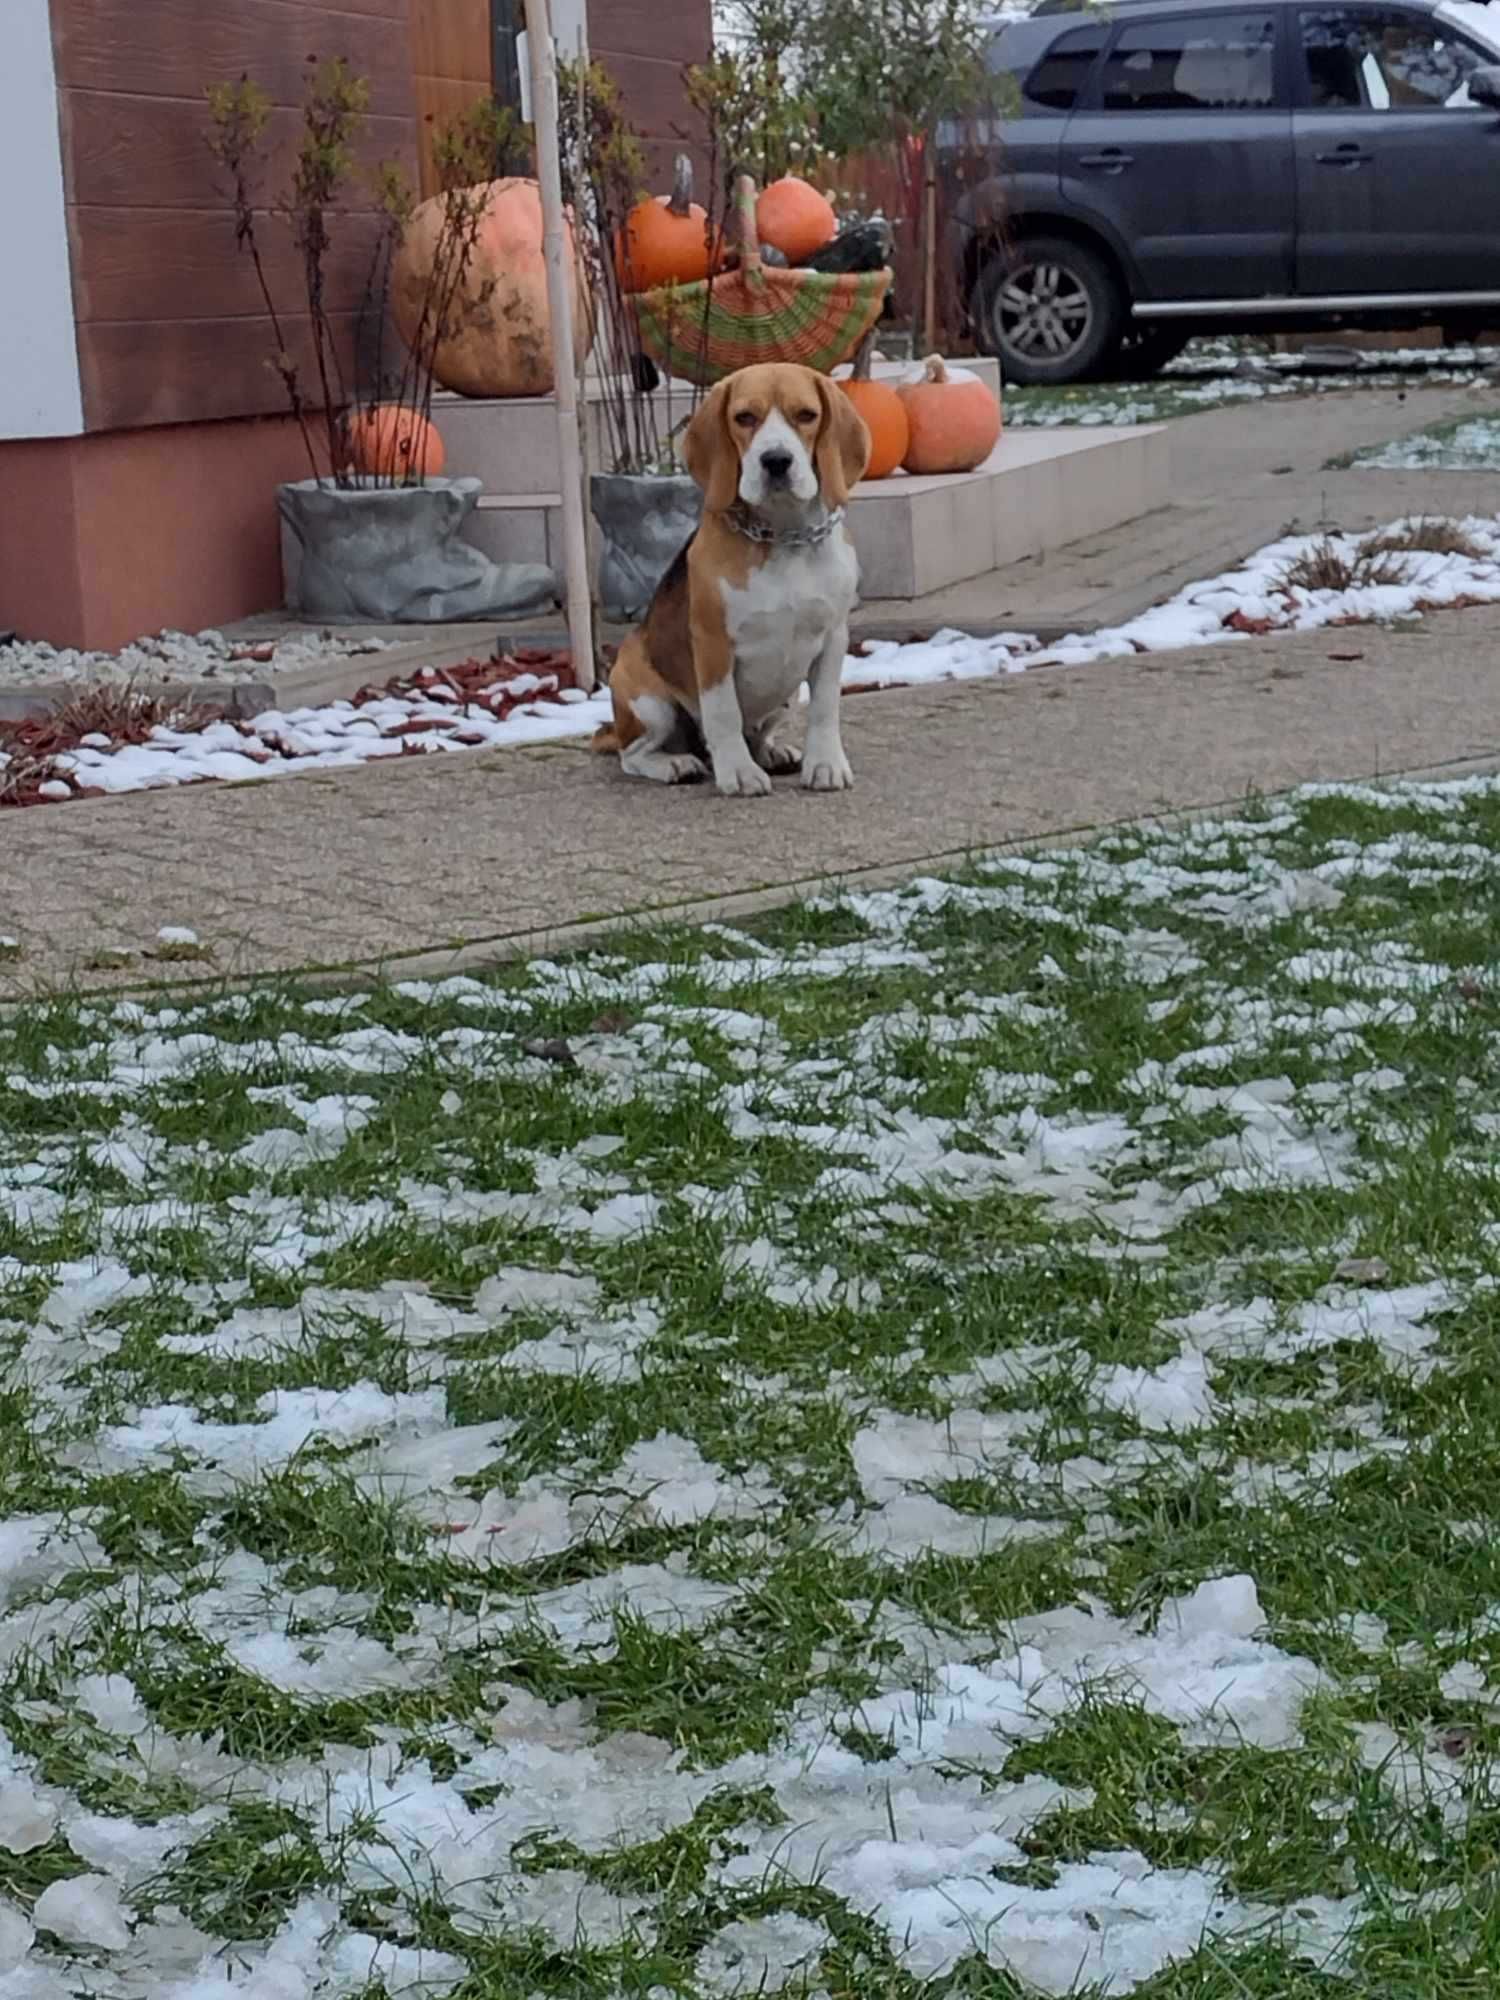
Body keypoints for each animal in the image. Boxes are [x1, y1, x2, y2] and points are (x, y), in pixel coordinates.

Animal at [592, 360, 876, 796]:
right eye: (744, 417)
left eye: (806, 415)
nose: (776, 460)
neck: (783, 537)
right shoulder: (713, 644)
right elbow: (723, 713)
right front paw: (738, 773)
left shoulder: (833, 638)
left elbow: (825, 708)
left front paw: (825, 764)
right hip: (648, 701)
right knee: (634, 754)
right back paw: (675, 763)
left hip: (787, 696)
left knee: (757, 734)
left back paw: (773, 752)